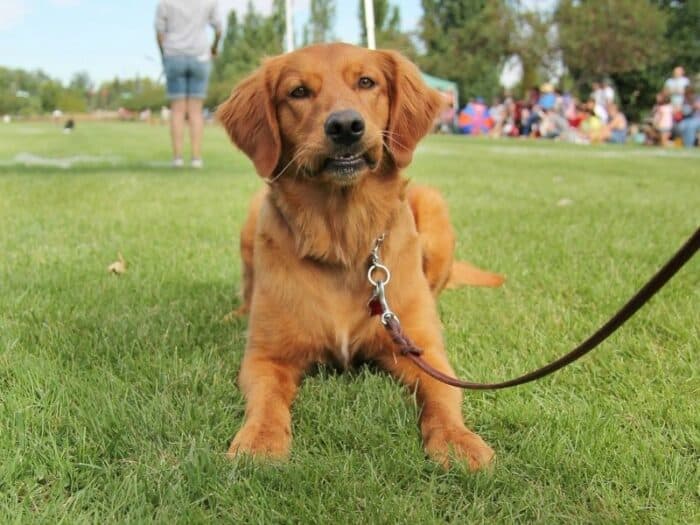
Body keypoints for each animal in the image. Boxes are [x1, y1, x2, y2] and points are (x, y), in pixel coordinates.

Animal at [219, 43, 504, 468]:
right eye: (298, 92)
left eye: (366, 82)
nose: (344, 126)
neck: (343, 239)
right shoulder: (266, 356)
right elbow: (267, 401)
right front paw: (260, 441)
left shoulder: (421, 349)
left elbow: (443, 394)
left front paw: (457, 440)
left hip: (434, 208)